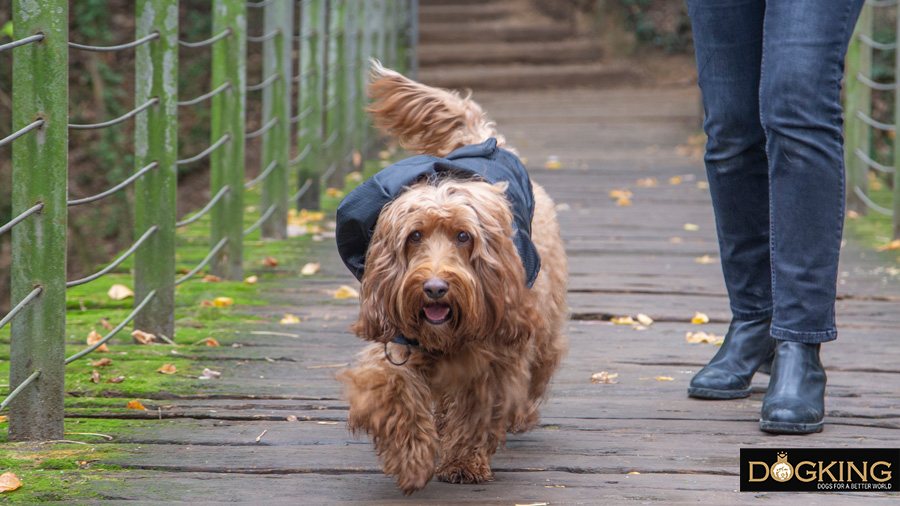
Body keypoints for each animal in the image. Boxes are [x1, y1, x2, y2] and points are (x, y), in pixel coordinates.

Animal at [338, 63, 568, 494]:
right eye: (414, 236)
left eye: (464, 236)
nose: (434, 289)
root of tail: (486, 141)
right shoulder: (396, 344)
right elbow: (393, 394)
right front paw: (411, 458)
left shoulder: (495, 360)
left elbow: (478, 410)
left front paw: (463, 461)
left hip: (543, 319)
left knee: (540, 365)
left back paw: (520, 415)